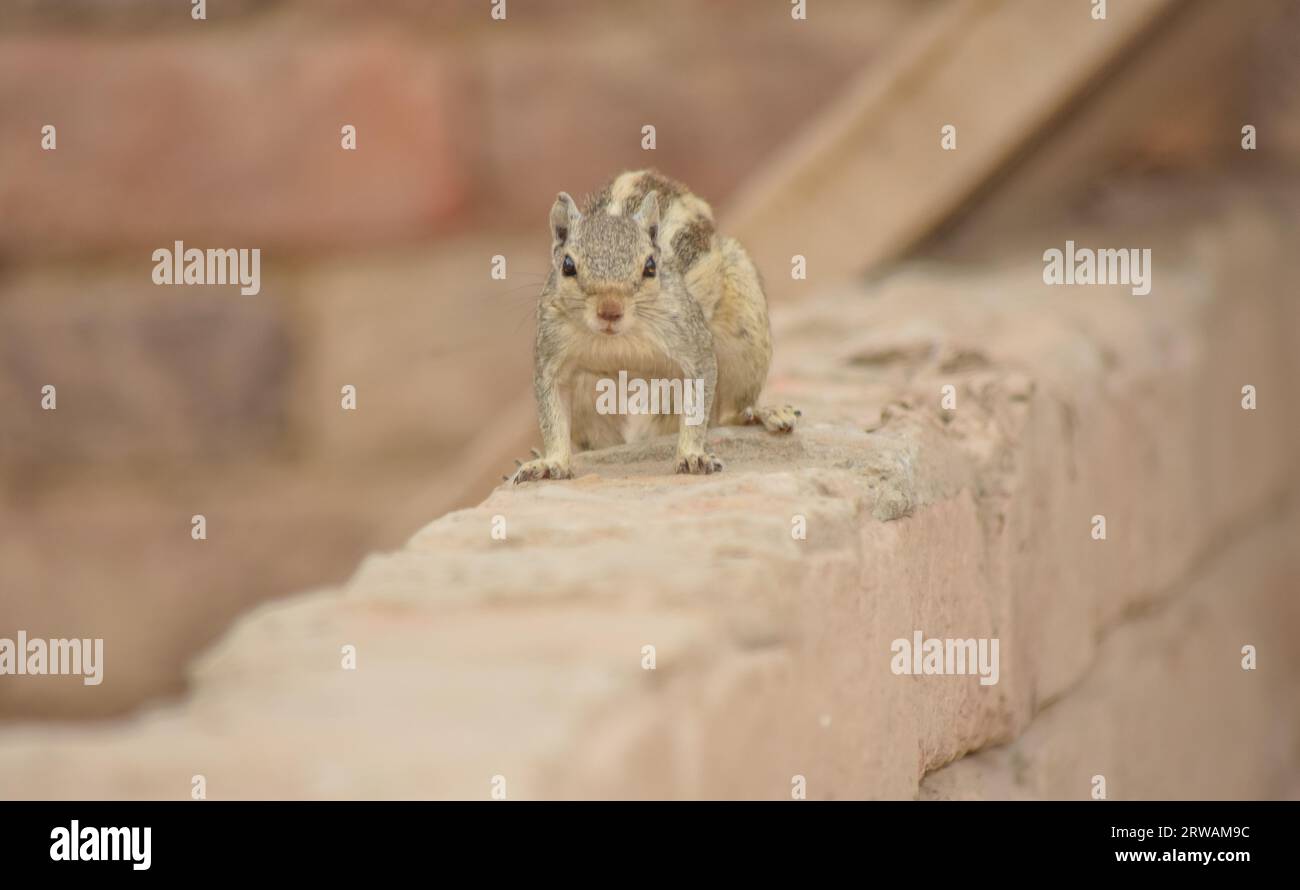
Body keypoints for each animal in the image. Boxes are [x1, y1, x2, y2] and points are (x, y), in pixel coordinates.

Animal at [512, 168, 795, 483]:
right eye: (567, 266)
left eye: (650, 266)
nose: (610, 310)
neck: (617, 340)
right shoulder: (551, 353)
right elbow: (553, 415)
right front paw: (551, 462)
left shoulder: (693, 343)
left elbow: (697, 403)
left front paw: (692, 456)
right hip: (588, 399)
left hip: (746, 337)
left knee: (732, 411)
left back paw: (765, 413)